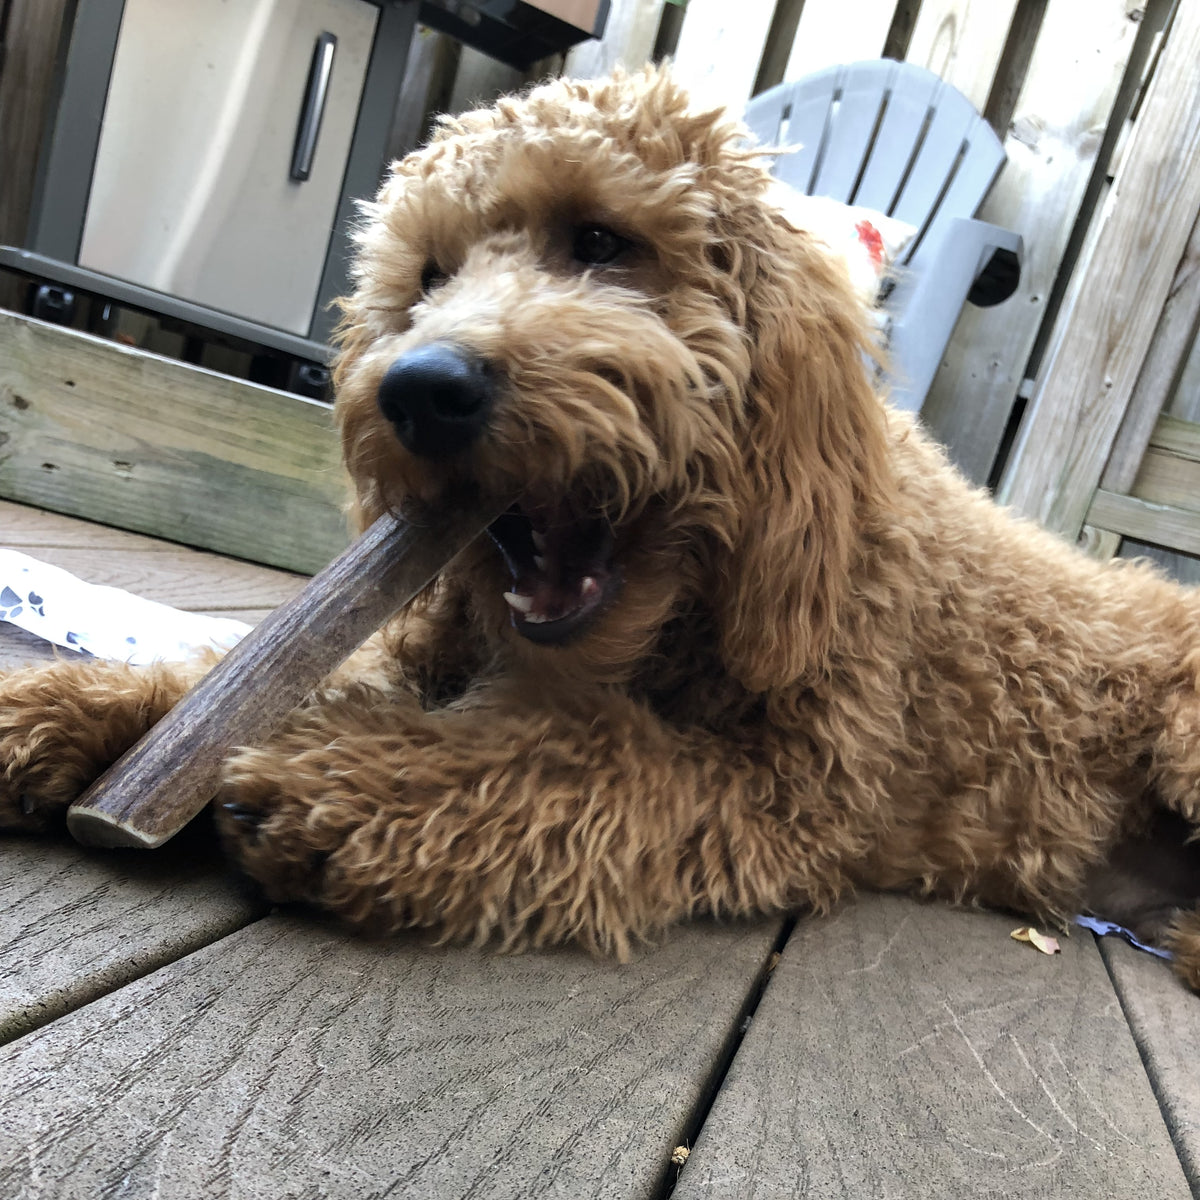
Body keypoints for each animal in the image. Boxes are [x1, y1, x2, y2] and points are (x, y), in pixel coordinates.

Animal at [2, 63, 1200, 984]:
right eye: (428, 277)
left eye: (600, 240)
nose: (422, 390)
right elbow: (261, 669)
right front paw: (81, 707)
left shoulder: (792, 784)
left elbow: (586, 759)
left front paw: (350, 783)